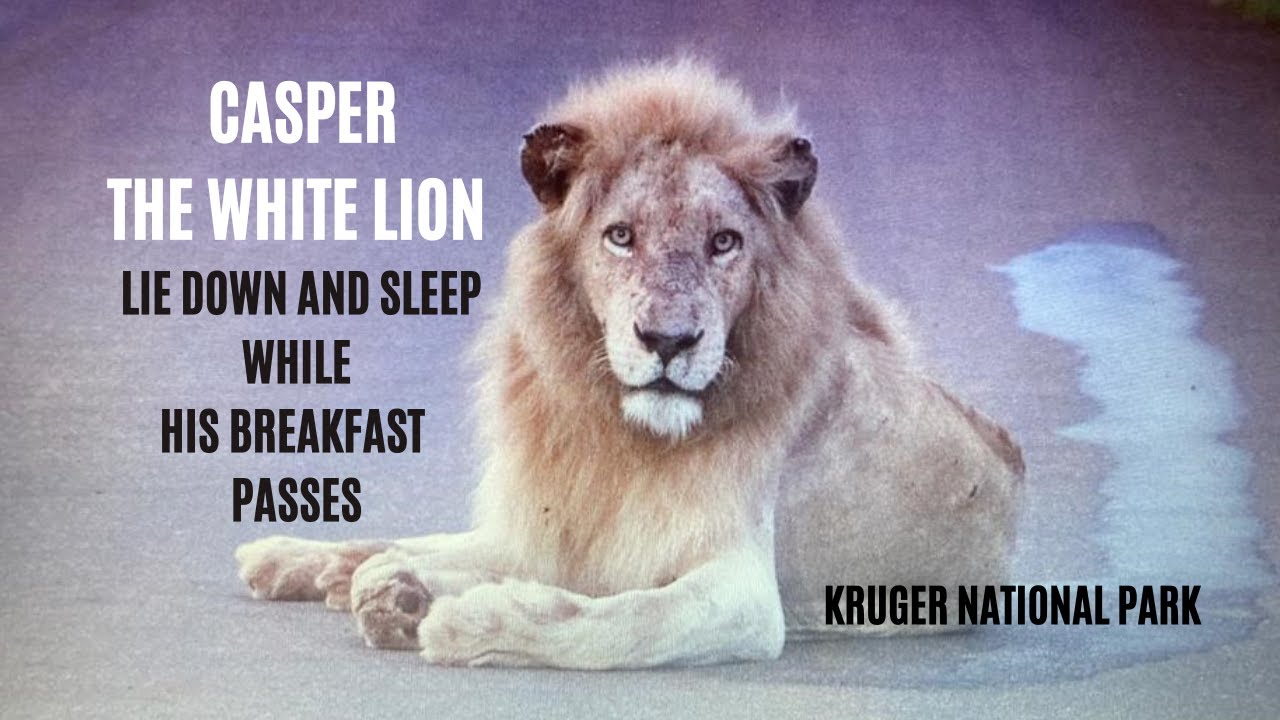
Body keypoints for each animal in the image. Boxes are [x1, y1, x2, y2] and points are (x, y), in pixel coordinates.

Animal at [235, 58, 1024, 668]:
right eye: (620, 236)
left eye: (724, 242)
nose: (668, 340)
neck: (615, 432)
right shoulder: (558, 525)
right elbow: (451, 543)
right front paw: (355, 574)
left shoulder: (740, 597)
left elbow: (614, 622)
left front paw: (465, 620)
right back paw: (329, 568)